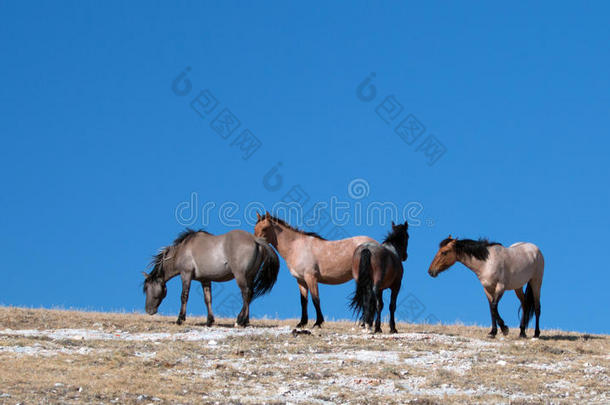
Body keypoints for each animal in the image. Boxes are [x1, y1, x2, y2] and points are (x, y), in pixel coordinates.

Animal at [142, 229, 278, 326]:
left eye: (147, 288)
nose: (148, 310)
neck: (182, 250)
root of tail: (255, 239)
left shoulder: (186, 274)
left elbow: (184, 296)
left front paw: (180, 319)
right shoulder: (205, 280)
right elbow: (208, 299)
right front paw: (209, 321)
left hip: (240, 275)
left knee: (246, 293)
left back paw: (240, 321)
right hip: (250, 276)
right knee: (250, 294)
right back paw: (246, 321)